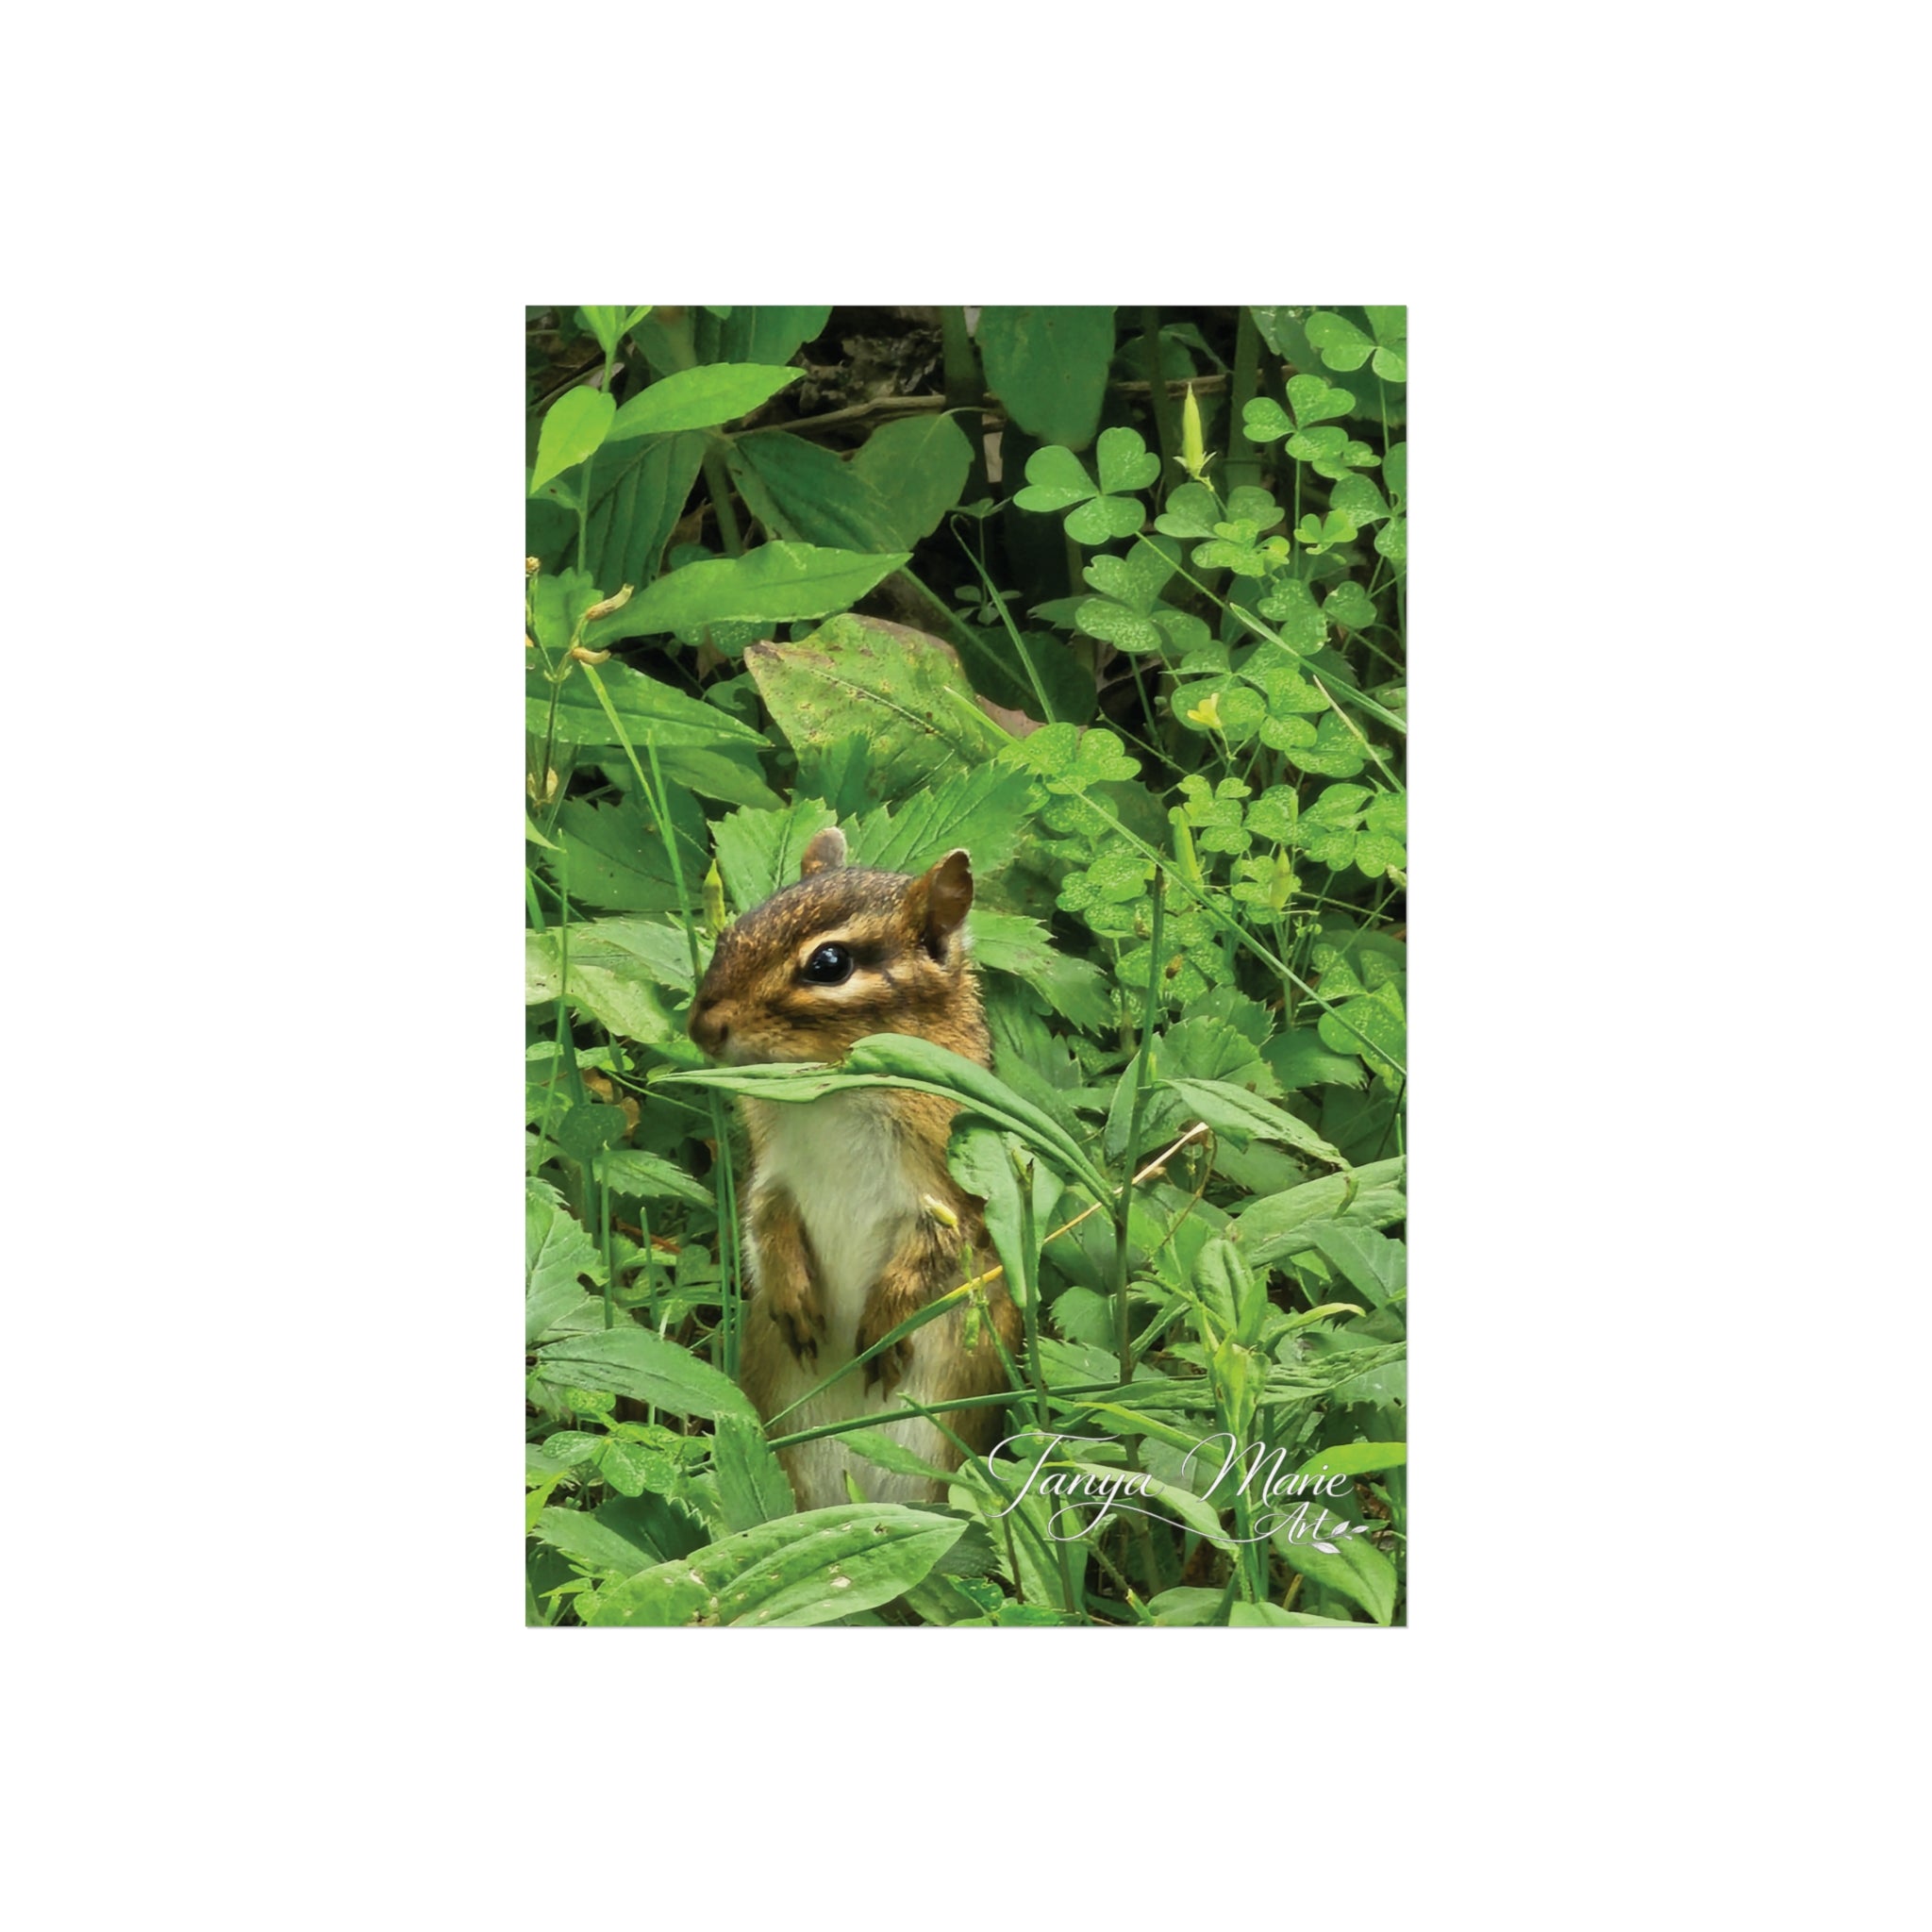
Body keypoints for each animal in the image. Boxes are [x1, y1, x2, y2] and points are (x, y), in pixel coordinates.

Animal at [687, 826, 1021, 1511]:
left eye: (829, 965)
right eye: (734, 930)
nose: (701, 1026)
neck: (831, 1095)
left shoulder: (950, 1192)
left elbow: (933, 1255)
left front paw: (885, 1326)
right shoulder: (772, 1172)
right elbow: (763, 1223)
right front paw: (791, 1296)